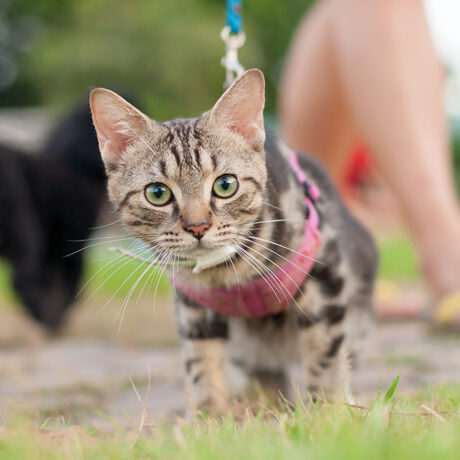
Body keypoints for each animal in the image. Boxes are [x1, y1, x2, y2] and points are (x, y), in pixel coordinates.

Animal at [90, 69, 378, 416]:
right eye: (157, 193)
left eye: (225, 185)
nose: (197, 226)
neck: (228, 271)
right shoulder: (195, 310)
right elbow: (202, 368)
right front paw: (209, 420)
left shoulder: (325, 274)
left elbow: (325, 356)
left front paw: (328, 411)